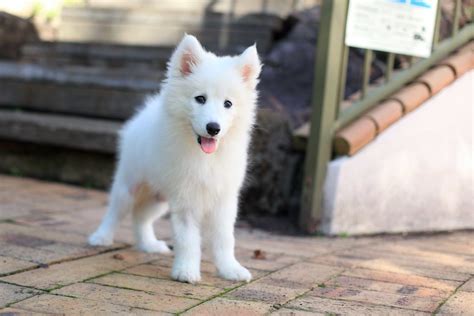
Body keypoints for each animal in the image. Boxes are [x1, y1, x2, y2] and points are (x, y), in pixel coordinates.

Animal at [87, 35, 262, 284]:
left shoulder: (224, 200)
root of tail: (144, 112)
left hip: (158, 197)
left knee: (140, 217)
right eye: (200, 99)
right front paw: (186, 272)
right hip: (129, 183)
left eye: (228, 104)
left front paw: (230, 269)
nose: (213, 128)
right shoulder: (186, 199)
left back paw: (149, 245)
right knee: (116, 211)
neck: (206, 157)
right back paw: (101, 237)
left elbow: (225, 238)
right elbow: (188, 239)